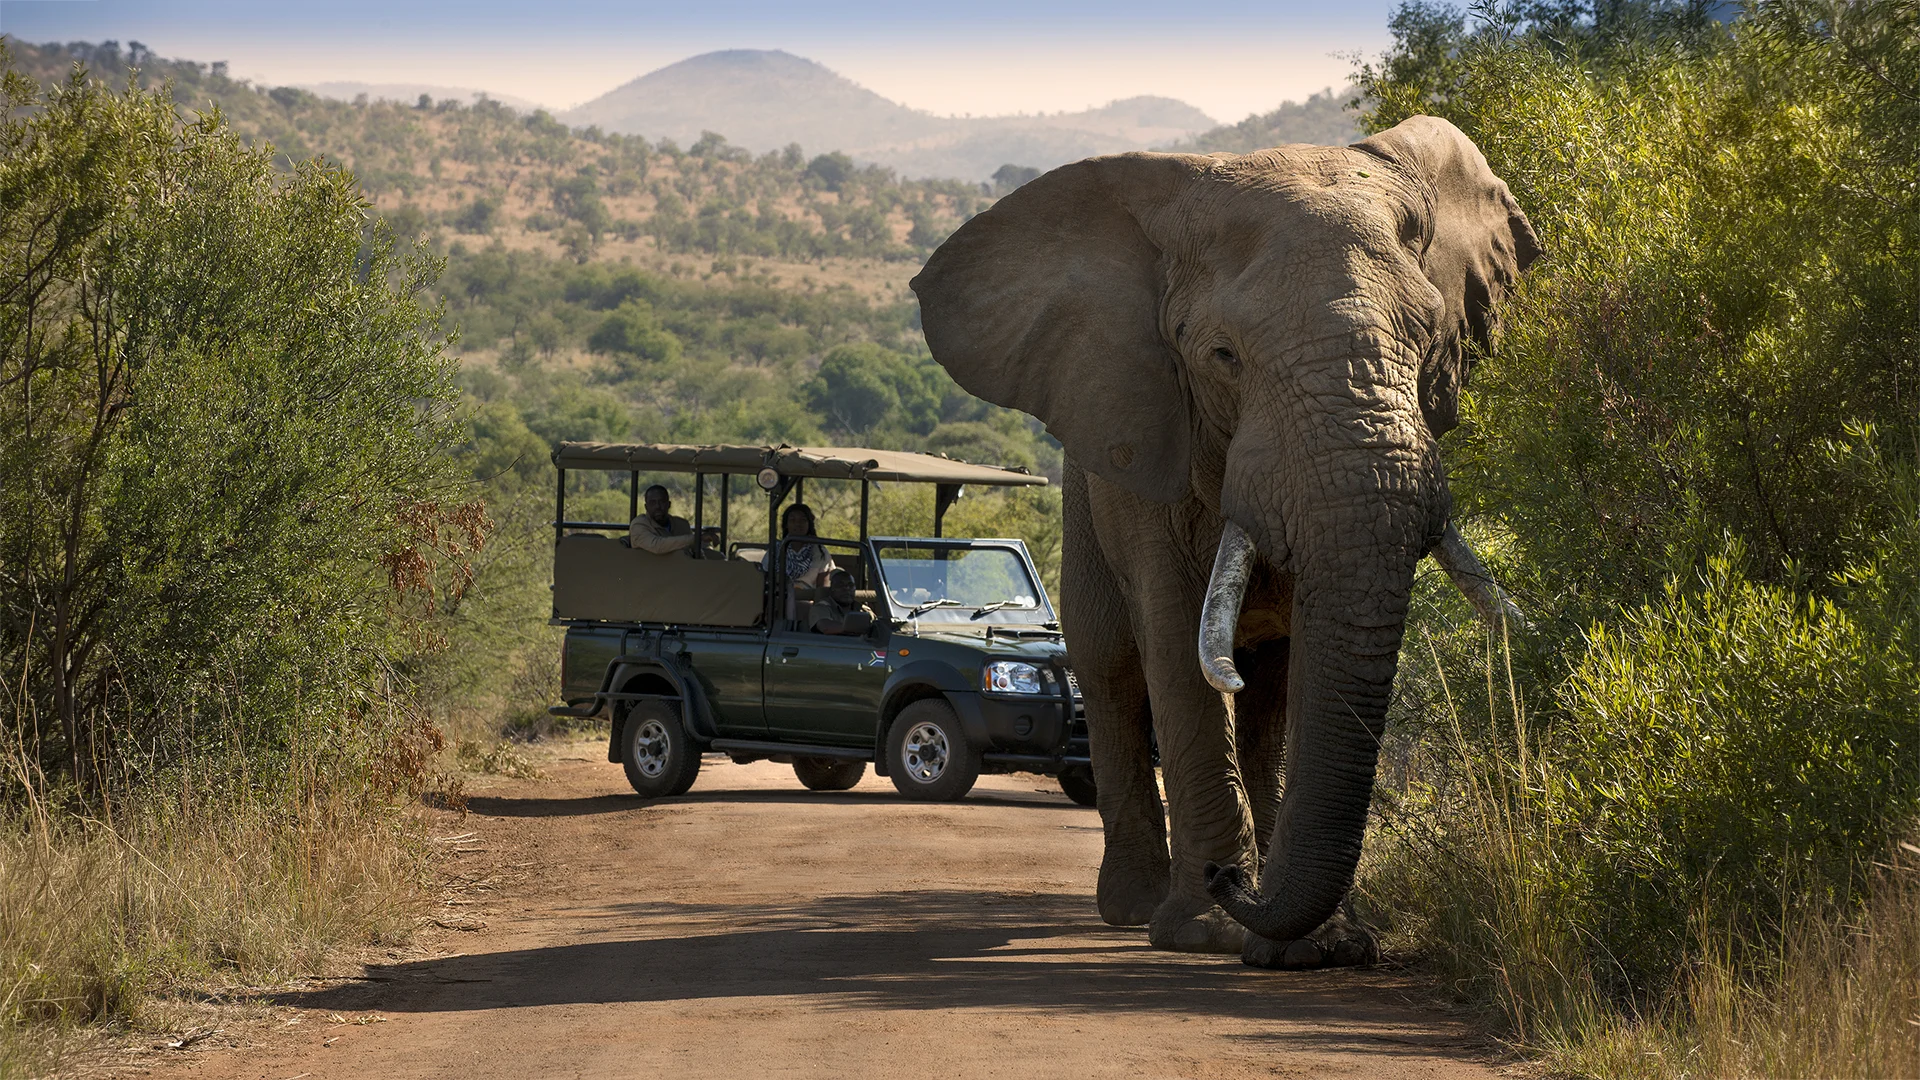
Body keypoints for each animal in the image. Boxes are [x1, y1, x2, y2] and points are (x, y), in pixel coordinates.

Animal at [910, 115, 1542, 965]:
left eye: (1426, 341)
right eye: (1223, 357)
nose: (1227, 882)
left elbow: (1301, 667)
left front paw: (1320, 946)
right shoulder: (1146, 437)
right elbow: (1176, 643)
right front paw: (1205, 930)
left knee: (1266, 688)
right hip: (1086, 498)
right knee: (1111, 668)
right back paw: (1134, 906)